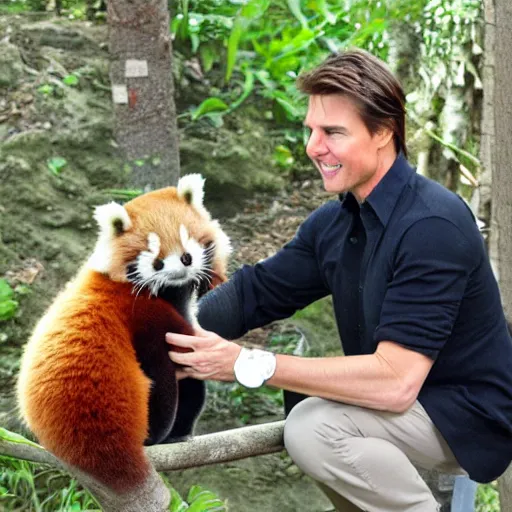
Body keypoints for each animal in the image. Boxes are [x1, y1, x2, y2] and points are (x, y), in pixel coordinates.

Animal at [16, 174, 231, 494]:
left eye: (186, 252)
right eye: (157, 261)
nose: (179, 268)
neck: (169, 293)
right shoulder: (149, 318)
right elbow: (173, 371)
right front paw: (174, 429)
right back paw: (158, 436)